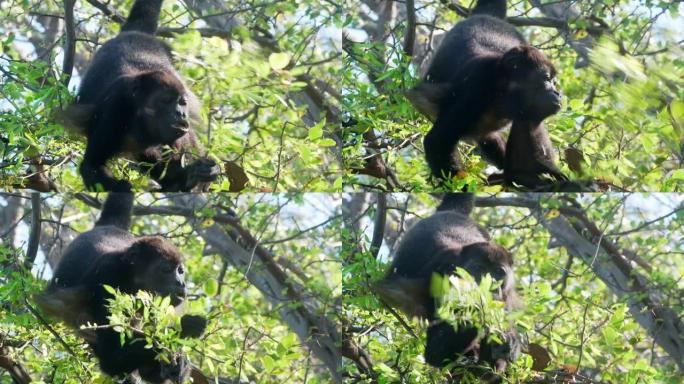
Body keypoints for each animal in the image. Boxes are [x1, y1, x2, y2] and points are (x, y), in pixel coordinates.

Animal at [35, 194, 206, 382]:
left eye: (180, 271)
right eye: (166, 269)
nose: (181, 283)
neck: (130, 280)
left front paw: (179, 364)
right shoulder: (107, 275)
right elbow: (112, 357)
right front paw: (185, 326)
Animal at [62, 0, 219, 192]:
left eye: (182, 103)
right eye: (165, 101)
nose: (180, 113)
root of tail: (133, 33)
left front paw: (195, 175)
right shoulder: (115, 106)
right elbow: (92, 165)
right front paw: (123, 189)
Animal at [374, 195, 520, 378]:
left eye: (499, 272)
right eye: (478, 269)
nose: (491, 285)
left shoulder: (507, 296)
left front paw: (510, 342)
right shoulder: (438, 275)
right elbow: (435, 352)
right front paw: (479, 306)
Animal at [408, 0, 568, 190]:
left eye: (554, 82)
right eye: (546, 79)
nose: (558, 93)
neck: (503, 90)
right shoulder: (477, 83)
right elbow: (437, 141)